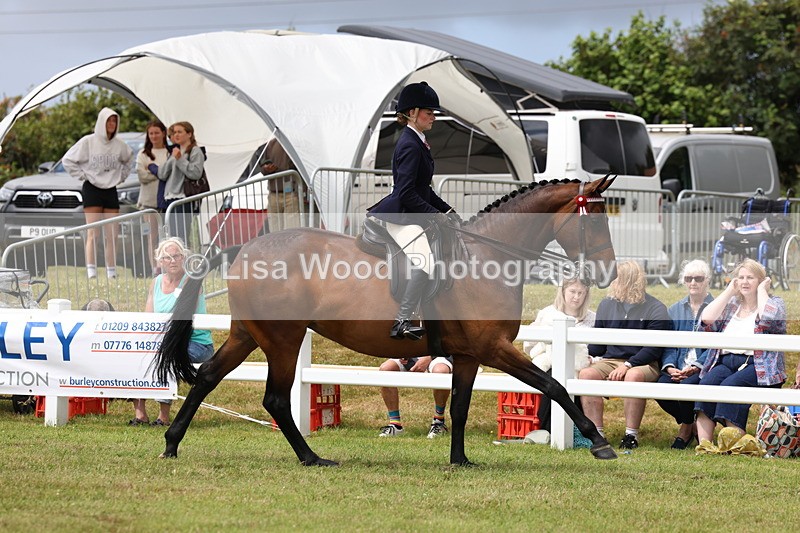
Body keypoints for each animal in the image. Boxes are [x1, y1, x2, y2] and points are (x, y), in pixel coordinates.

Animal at [154, 176, 619, 466]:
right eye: (595, 220)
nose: (608, 274)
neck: (488, 256)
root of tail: (246, 249)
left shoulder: (470, 355)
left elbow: (461, 407)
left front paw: (460, 460)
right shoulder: (494, 349)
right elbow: (554, 385)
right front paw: (599, 443)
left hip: (248, 335)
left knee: (208, 376)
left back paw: (171, 444)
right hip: (283, 340)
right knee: (275, 399)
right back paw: (312, 458)